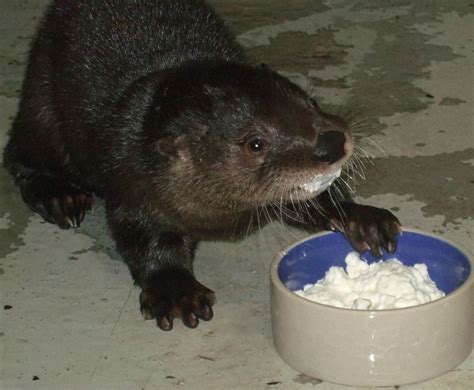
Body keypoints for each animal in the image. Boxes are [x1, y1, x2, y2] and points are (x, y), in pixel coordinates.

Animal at [3, 0, 400, 330]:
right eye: (255, 143)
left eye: (310, 102)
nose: (331, 143)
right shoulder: (132, 184)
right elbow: (144, 238)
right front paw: (176, 291)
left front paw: (363, 219)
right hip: (43, 102)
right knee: (19, 151)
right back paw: (58, 196)